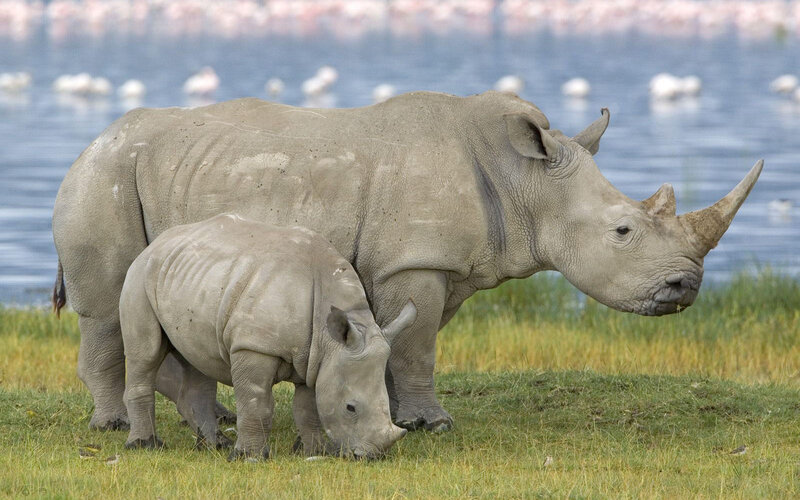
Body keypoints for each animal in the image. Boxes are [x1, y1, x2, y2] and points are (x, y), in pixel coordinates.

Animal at [52, 91, 762, 434]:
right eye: (623, 230)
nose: (686, 285)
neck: (524, 180)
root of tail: (91, 141)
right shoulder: (413, 261)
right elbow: (418, 347)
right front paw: (433, 425)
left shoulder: (429, 265)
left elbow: (403, 343)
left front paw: (392, 415)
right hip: (103, 180)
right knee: (108, 309)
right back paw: (115, 425)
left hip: (138, 174)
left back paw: (217, 419)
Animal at [121, 214, 412, 459]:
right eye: (351, 408)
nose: (372, 456)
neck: (329, 337)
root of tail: (157, 242)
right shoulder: (254, 347)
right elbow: (256, 402)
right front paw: (249, 457)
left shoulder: (316, 357)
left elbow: (308, 408)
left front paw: (313, 451)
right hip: (139, 276)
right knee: (145, 355)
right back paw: (144, 445)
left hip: (190, 278)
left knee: (198, 359)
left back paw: (214, 445)